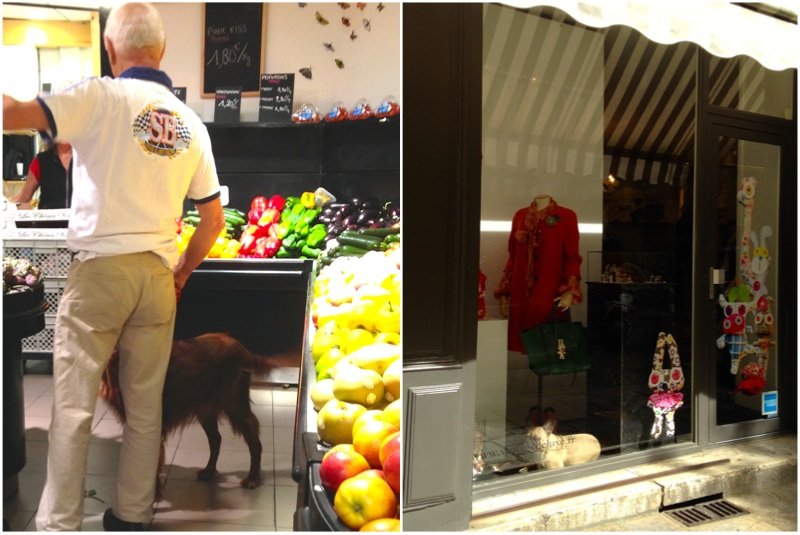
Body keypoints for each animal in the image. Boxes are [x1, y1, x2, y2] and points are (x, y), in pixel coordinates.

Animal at [99, 332, 298, 496]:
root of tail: (241, 348)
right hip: (206, 410)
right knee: (216, 439)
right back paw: (209, 471)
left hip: (234, 405)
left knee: (254, 441)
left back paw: (252, 479)